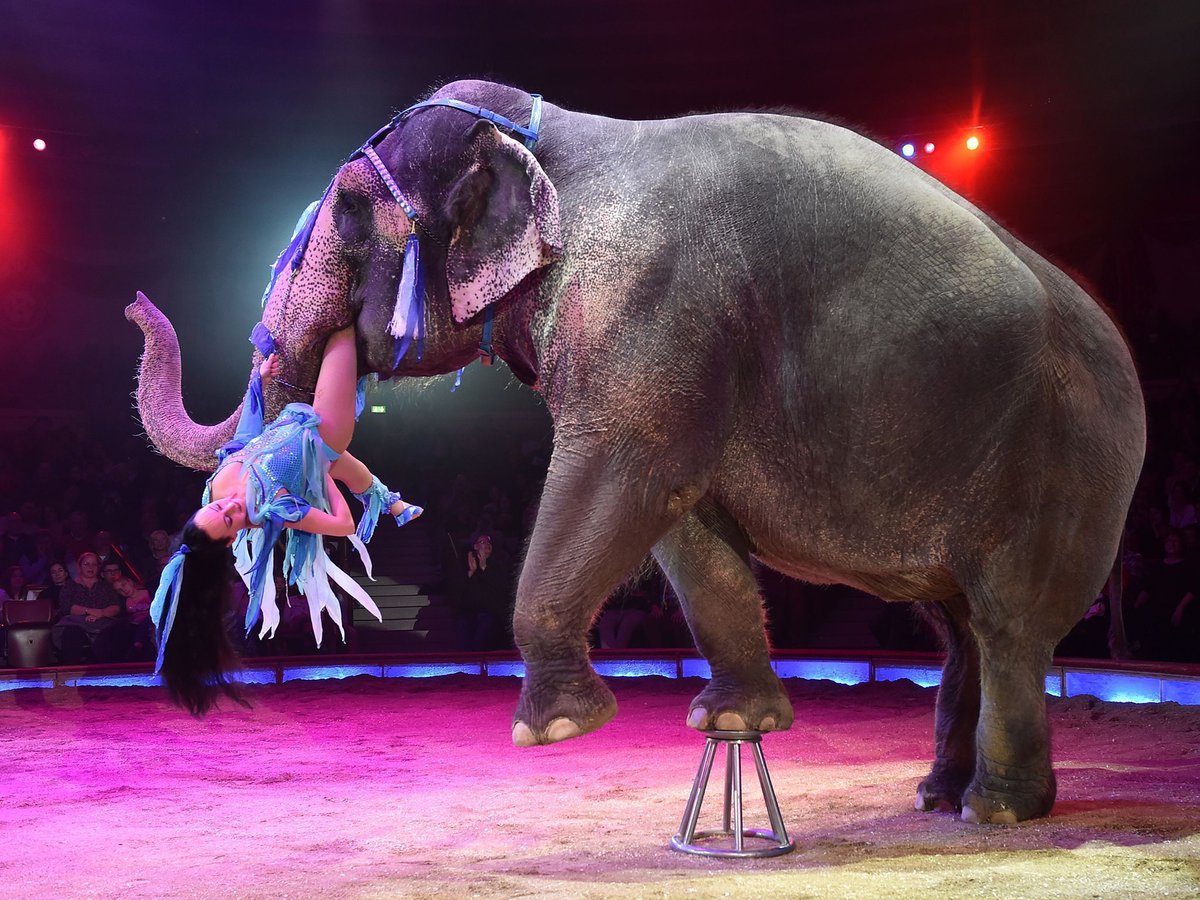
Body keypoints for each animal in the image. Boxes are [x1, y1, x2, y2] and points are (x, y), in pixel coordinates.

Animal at [128, 79, 1146, 824]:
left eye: (343, 211)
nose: (139, 304)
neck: (562, 147)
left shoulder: (648, 312)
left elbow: (624, 476)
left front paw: (556, 733)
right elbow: (685, 524)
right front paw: (733, 720)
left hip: (1060, 465)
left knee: (1008, 623)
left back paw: (998, 811)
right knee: (957, 626)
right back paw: (938, 797)